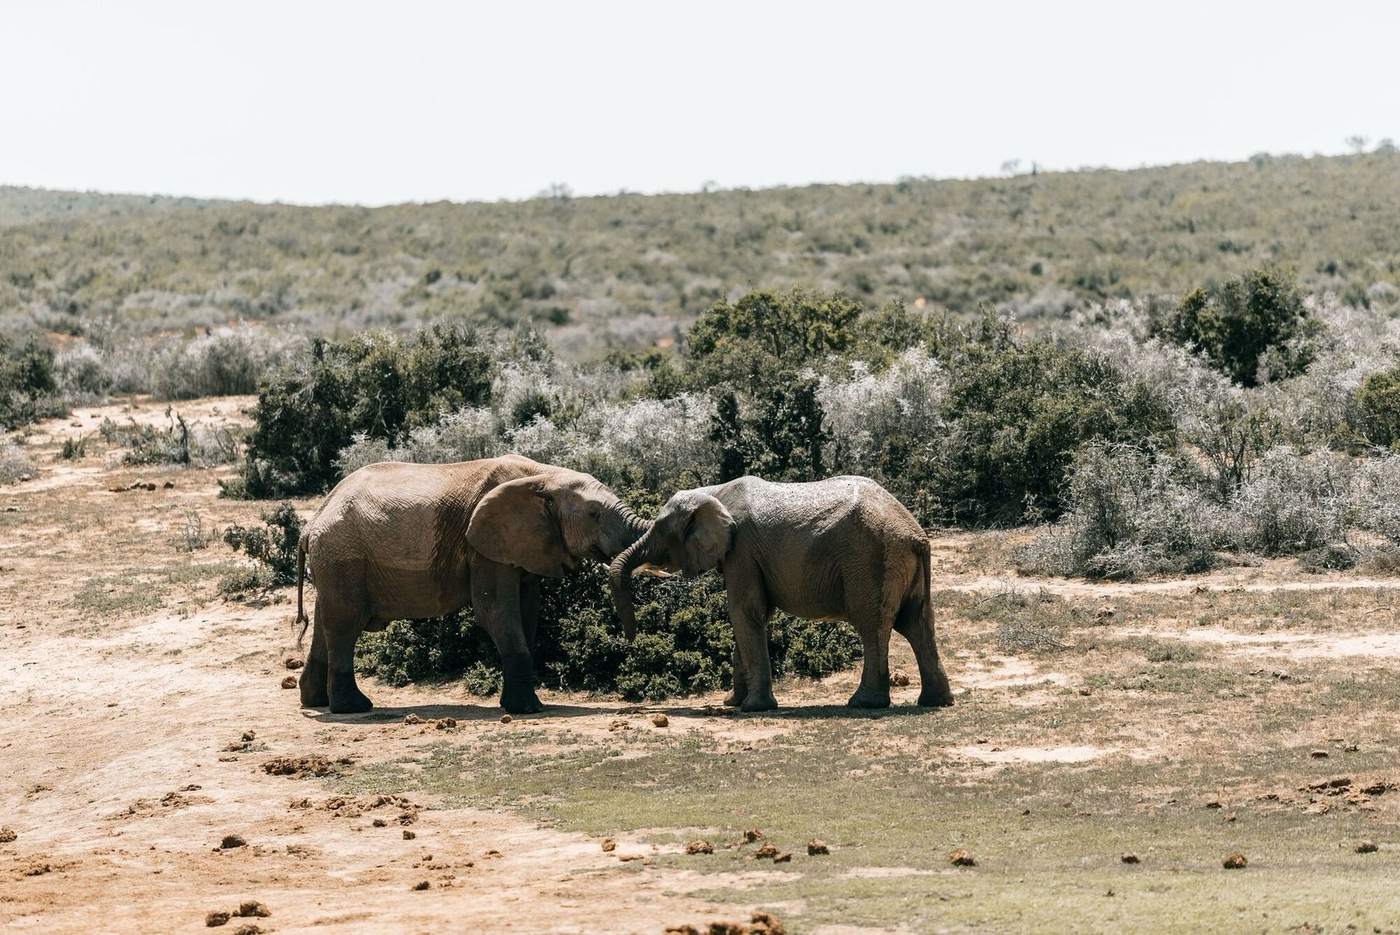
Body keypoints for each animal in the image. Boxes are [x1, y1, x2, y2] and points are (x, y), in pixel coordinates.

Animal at [295, 454, 648, 714]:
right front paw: (528, 710)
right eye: (594, 514)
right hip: (343, 556)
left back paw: (316, 702)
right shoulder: (483, 546)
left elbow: (527, 611)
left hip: (334, 562)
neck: (544, 476)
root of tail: (311, 525)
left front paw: (517, 704)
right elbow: (495, 610)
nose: (630, 640)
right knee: (345, 623)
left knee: (325, 620)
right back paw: (354, 708)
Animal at [609, 475, 953, 712]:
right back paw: (935, 701)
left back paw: (863, 703)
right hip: (900, 562)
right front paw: (732, 703)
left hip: (871, 559)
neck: (713, 492)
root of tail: (917, 534)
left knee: (873, 625)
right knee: (917, 624)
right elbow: (749, 617)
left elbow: (744, 611)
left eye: (661, 531)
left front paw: (752, 708)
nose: (630, 639)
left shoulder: (742, 552)